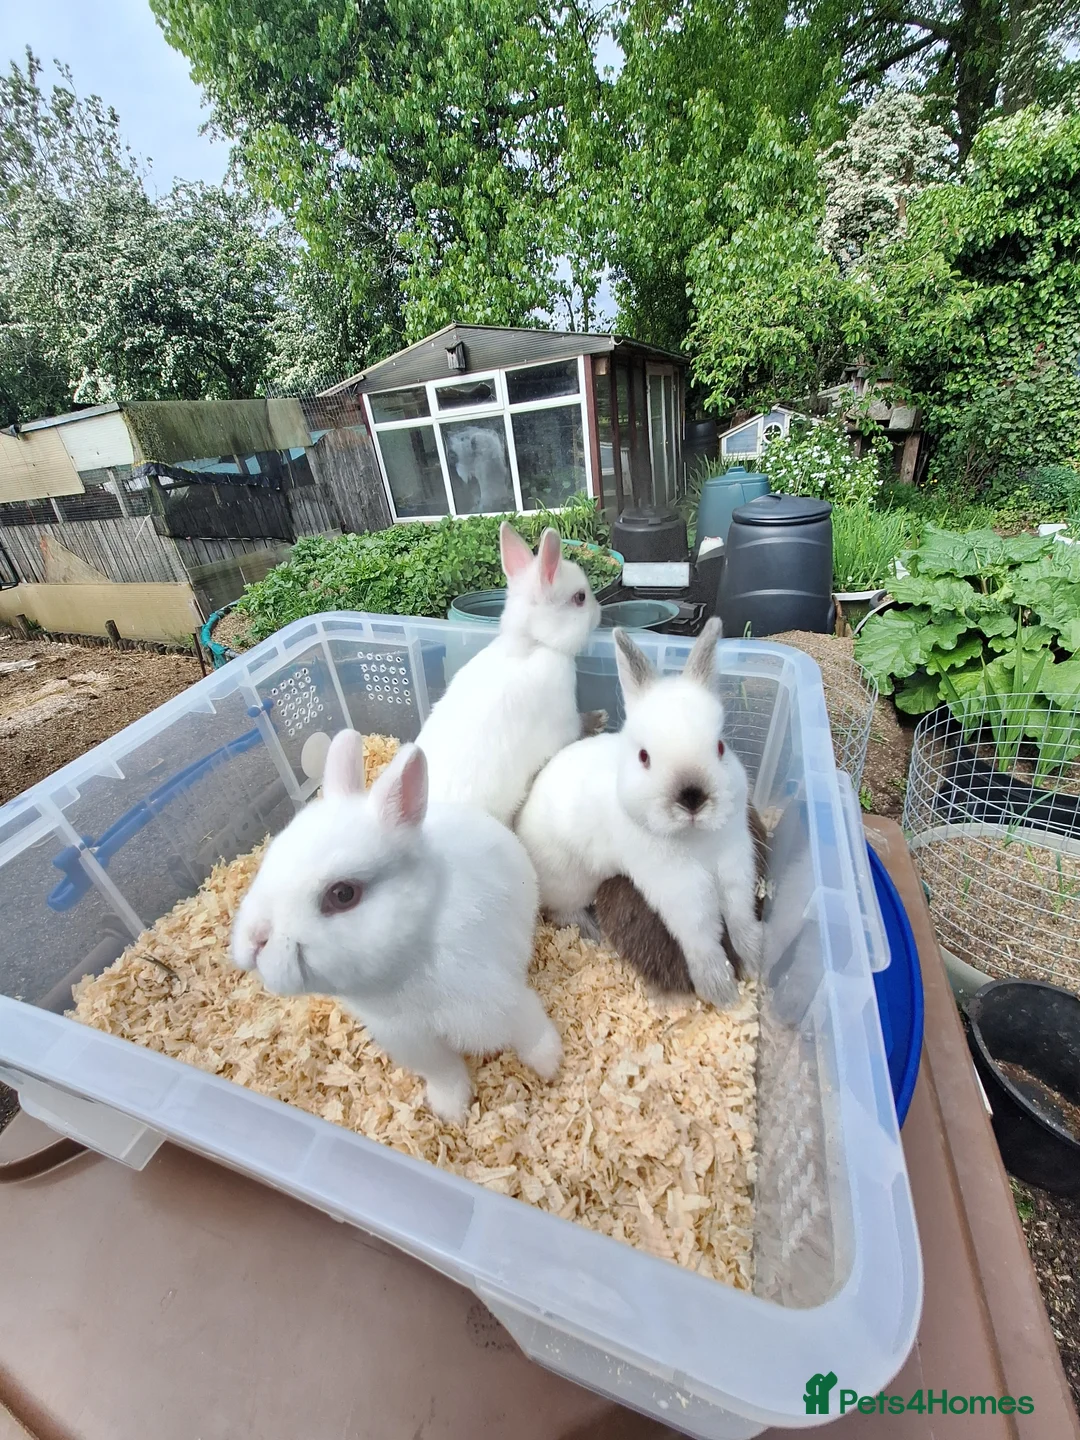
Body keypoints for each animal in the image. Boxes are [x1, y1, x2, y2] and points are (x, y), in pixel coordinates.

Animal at [231, 730, 562, 1124]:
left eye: (342, 894)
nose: (254, 941)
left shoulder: (502, 1002)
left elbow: (531, 1032)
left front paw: (551, 1067)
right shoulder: (413, 1042)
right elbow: (445, 1074)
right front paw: (451, 1111)